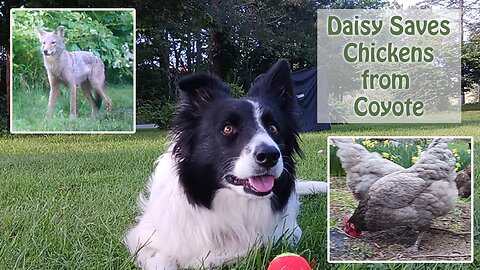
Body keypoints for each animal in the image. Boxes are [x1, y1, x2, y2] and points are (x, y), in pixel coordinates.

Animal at [124, 60, 326, 268]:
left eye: (273, 128)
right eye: (228, 129)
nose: (270, 155)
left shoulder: (289, 233)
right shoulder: (143, 240)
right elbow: (162, 260)